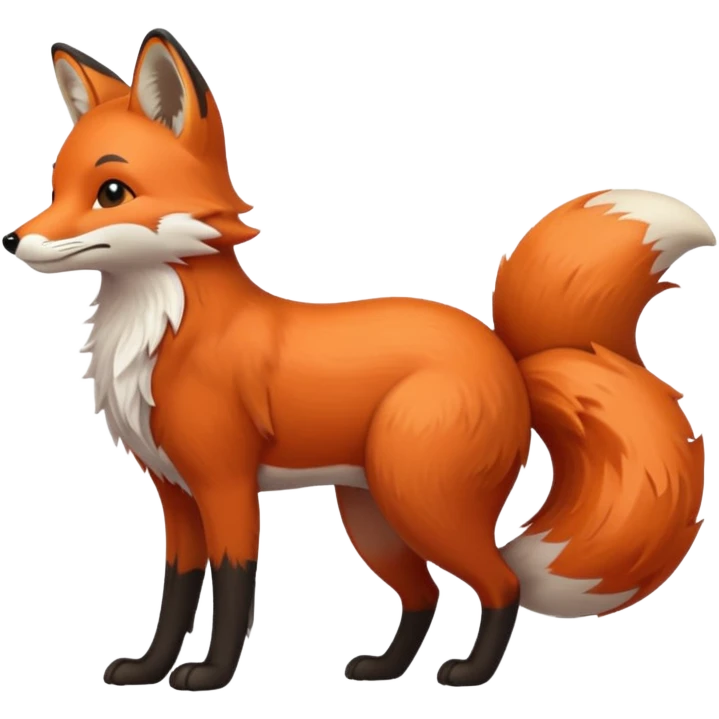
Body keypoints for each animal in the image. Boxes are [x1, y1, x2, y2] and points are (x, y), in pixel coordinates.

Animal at [3, 29, 714, 692]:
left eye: (111, 192)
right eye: (56, 188)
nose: (14, 239)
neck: (158, 332)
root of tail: (507, 356)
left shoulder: (225, 484)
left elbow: (233, 587)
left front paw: (209, 676)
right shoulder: (175, 494)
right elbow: (176, 592)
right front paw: (150, 669)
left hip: (419, 501)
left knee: (502, 583)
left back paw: (470, 673)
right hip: (372, 516)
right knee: (426, 594)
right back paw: (386, 669)